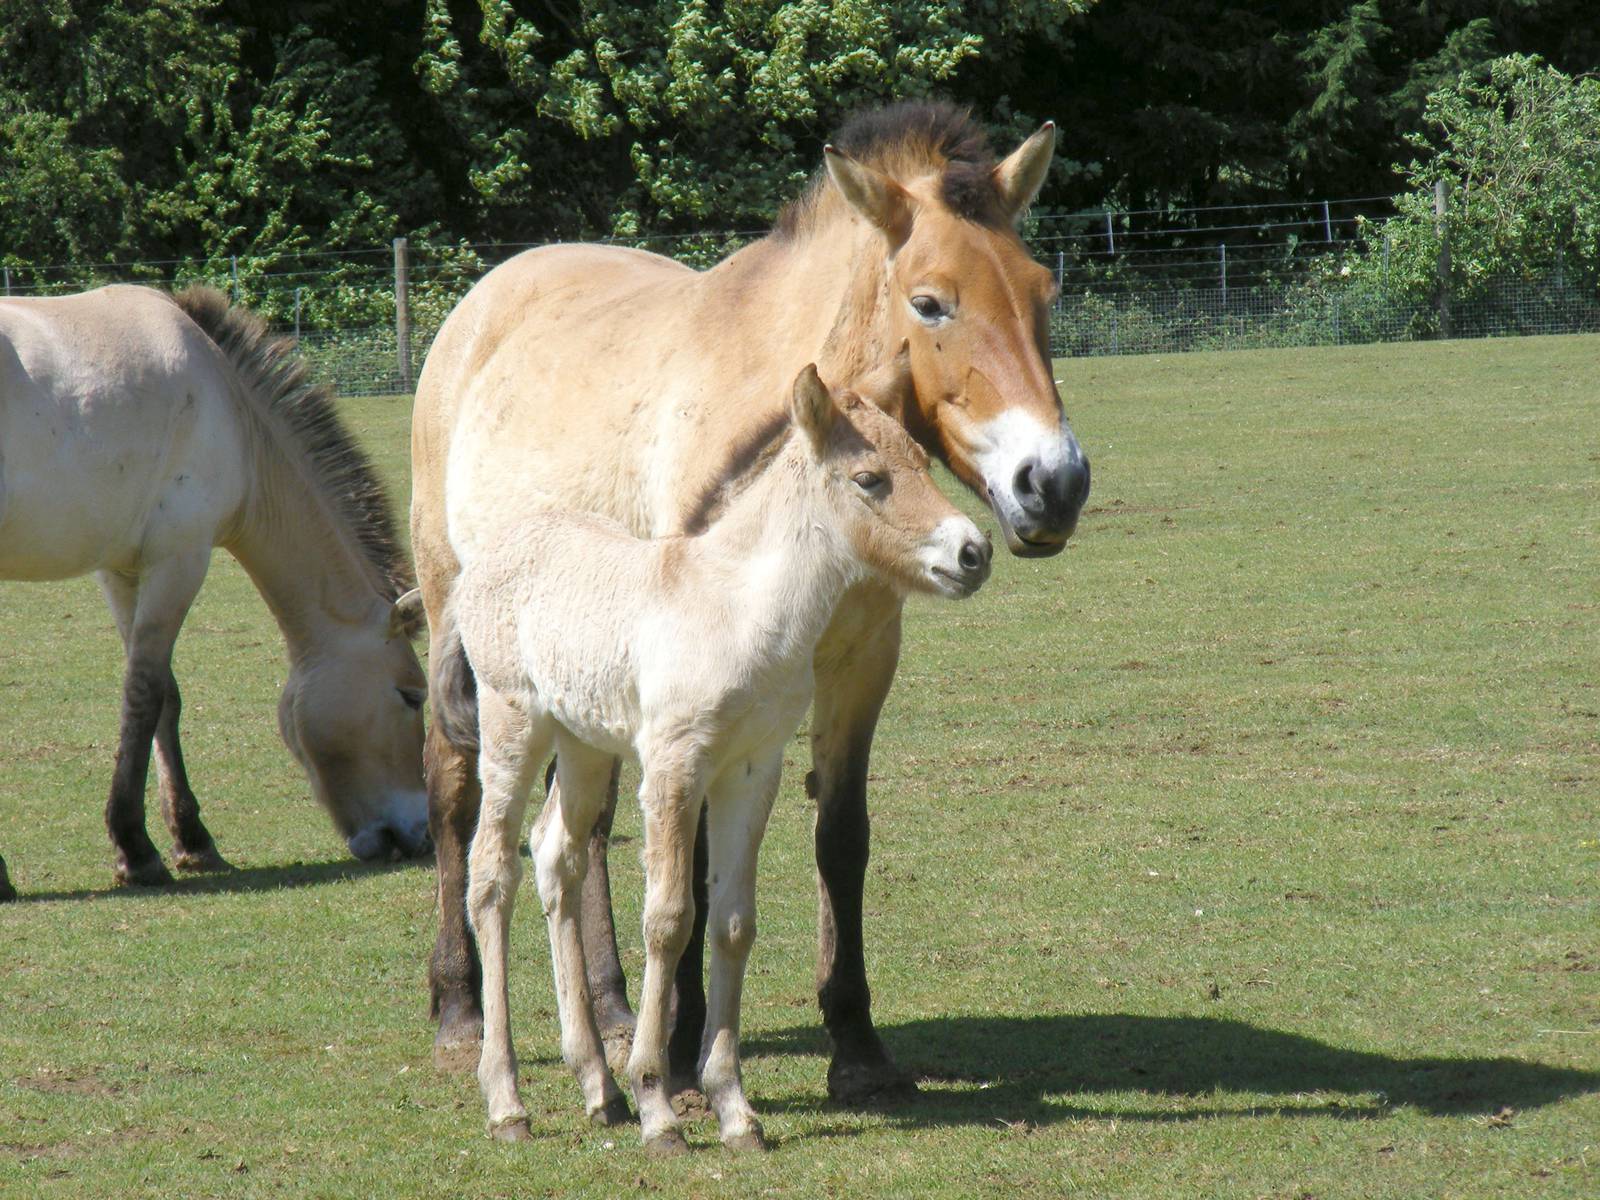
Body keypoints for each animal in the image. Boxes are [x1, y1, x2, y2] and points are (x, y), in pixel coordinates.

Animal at [0, 284, 431, 899]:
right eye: (412, 696)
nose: (418, 835)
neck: (232, 412)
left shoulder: (123, 571)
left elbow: (165, 699)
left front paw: (192, 841)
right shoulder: (180, 559)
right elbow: (146, 694)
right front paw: (137, 849)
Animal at [449, 358, 991, 1151]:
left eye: (923, 461)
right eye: (869, 478)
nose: (973, 552)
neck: (739, 606)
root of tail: (491, 554)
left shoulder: (752, 767)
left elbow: (733, 923)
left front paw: (734, 1108)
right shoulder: (675, 766)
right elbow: (670, 919)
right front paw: (659, 1104)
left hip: (584, 743)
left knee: (555, 853)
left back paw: (596, 1085)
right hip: (514, 721)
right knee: (491, 873)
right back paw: (508, 1101)